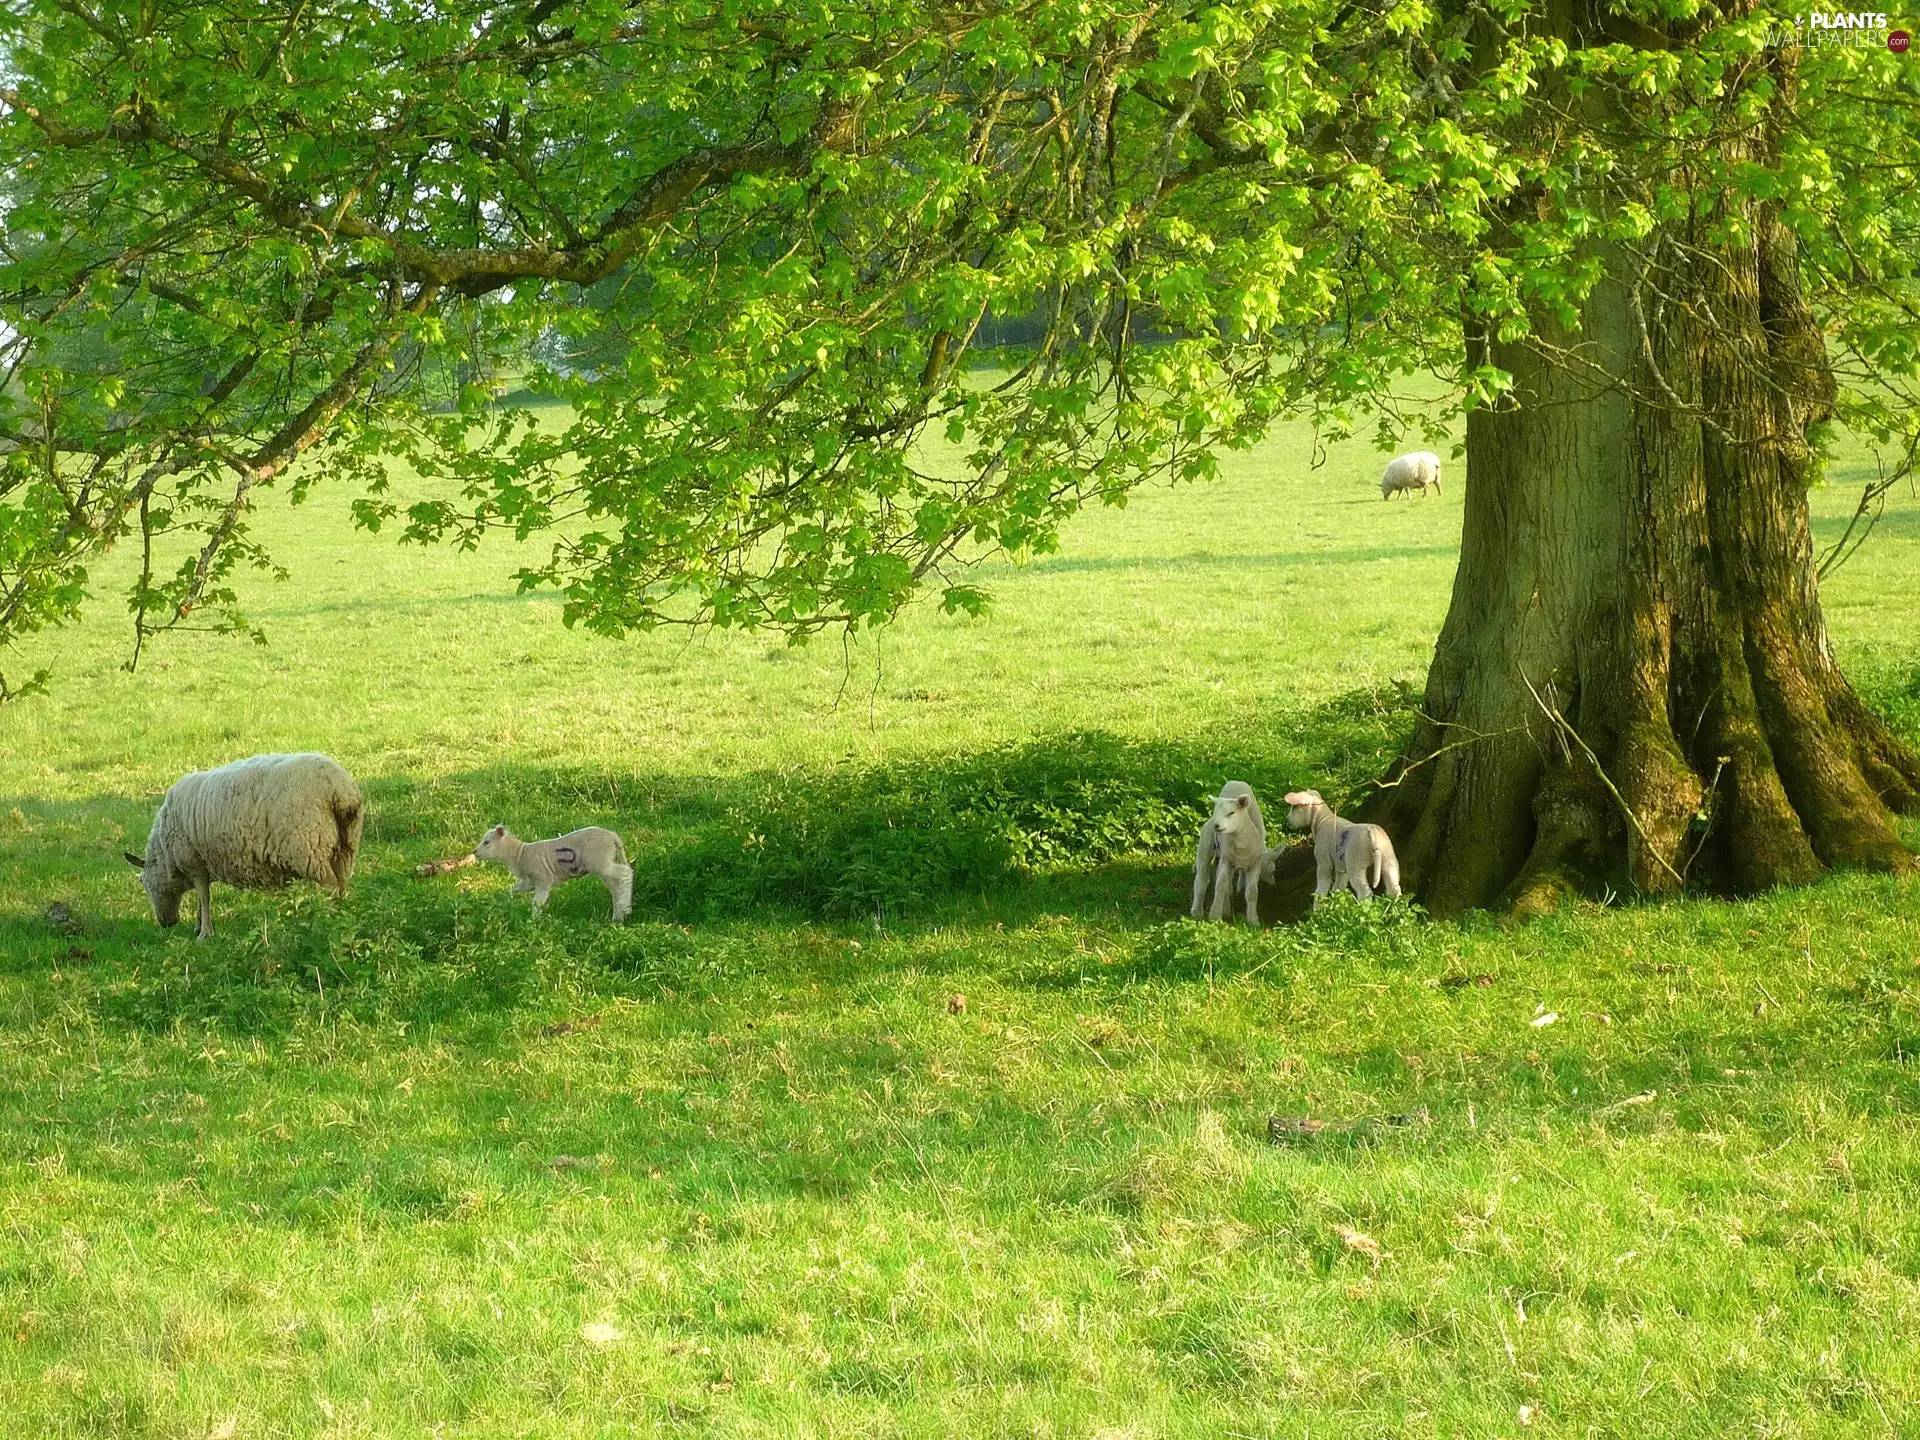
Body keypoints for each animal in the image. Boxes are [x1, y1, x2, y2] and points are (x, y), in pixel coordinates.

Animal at [123, 752, 364, 940]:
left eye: (145, 885)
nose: (166, 923)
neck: (165, 852)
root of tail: (341, 789)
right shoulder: (202, 865)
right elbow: (202, 899)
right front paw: (199, 927)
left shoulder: (195, 861)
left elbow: (204, 897)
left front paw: (205, 934)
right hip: (344, 847)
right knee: (342, 886)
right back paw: (344, 918)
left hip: (311, 847)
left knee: (331, 888)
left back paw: (327, 921)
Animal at [474, 823, 633, 921]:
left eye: (486, 842)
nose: (474, 852)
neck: (520, 854)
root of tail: (612, 836)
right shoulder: (529, 882)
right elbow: (513, 889)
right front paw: (506, 900)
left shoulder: (543, 879)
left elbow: (537, 902)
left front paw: (533, 921)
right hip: (604, 864)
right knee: (616, 887)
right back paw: (619, 914)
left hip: (600, 862)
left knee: (626, 873)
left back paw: (624, 909)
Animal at [1190, 781, 1267, 925]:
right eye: (1216, 812)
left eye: (1231, 813)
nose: (1216, 826)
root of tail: (1235, 782)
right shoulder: (1226, 859)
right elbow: (1220, 885)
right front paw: (1214, 915)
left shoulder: (1255, 863)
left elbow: (1252, 892)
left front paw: (1253, 921)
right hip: (1205, 848)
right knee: (1201, 881)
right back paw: (1197, 911)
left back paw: (1225, 909)